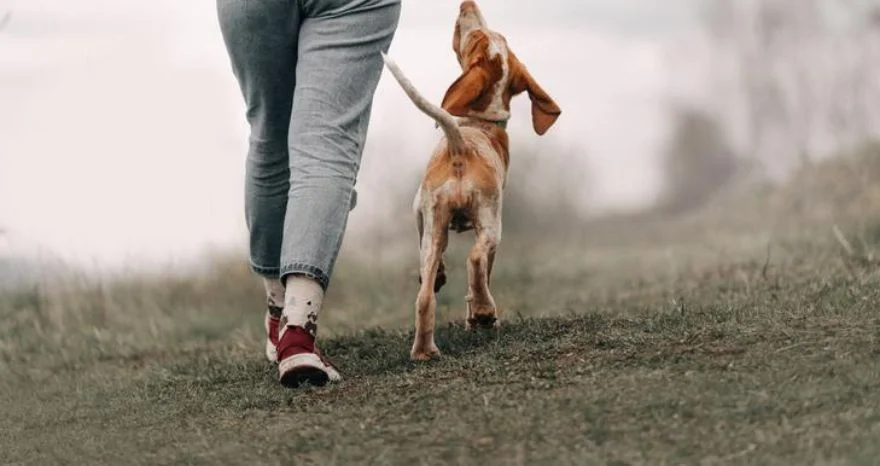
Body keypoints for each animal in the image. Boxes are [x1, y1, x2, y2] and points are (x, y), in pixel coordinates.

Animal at [380, 0, 560, 360]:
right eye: (479, 37)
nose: (467, 3)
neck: (477, 123)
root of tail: (460, 148)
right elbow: (484, 271)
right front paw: (476, 315)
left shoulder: (420, 212)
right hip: (491, 223)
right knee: (475, 259)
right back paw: (484, 313)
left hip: (437, 227)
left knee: (425, 297)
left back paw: (426, 350)